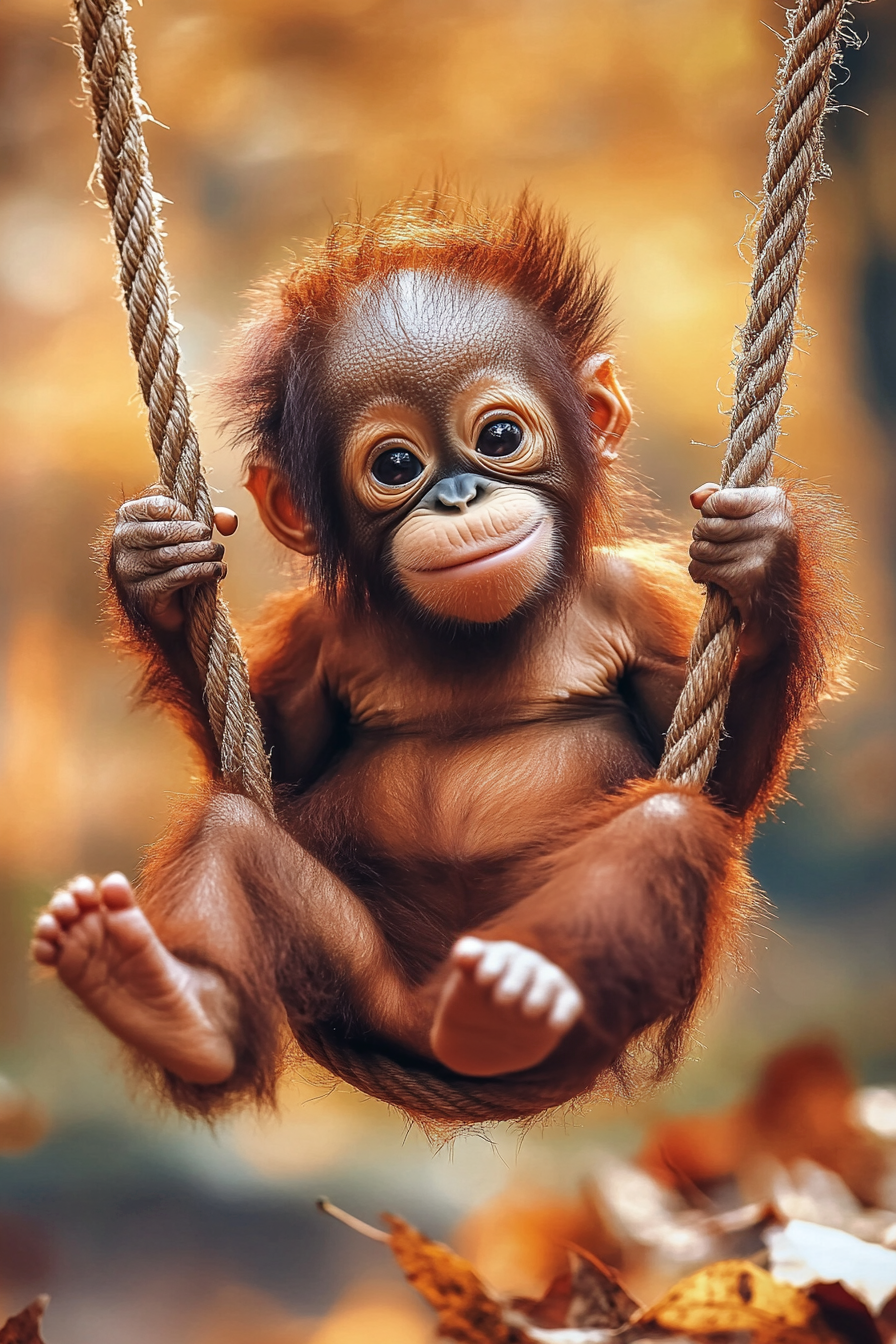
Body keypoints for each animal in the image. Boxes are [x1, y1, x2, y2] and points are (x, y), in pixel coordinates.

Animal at [29, 195, 851, 1118]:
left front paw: (762, 558)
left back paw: (516, 992)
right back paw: (170, 1001)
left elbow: (726, 788)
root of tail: (434, 1031)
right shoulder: (322, 635)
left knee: (664, 825)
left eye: (498, 436)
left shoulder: (639, 606)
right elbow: (282, 767)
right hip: (359, 985)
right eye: (396, 465)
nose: (460, 496)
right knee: (233, 830)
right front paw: (153, 574)